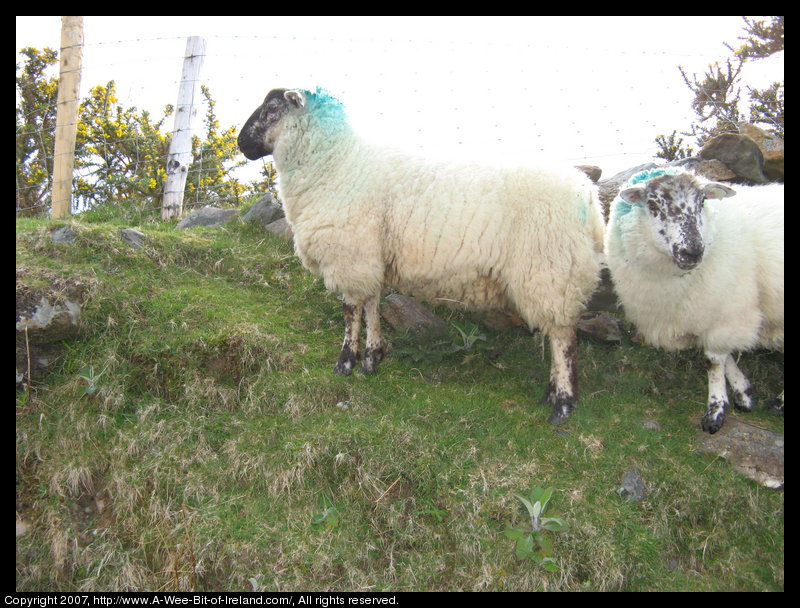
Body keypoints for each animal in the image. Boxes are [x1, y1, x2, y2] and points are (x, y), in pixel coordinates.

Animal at [238, 88, 608, 426]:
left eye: (272, 109)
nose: (242, 144)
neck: (337, 163)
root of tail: (589, 198)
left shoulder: (351, 254)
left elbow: (350, 310)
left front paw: (345, 363)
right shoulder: (370, 256)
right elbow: (372, 304)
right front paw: (372, 358)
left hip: (550, 270)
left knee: (563, 338)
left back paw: (562, 406)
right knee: (557, 332)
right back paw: (550, 394)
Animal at [608, 166, 780, 432]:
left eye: (702, 201)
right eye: (653, 205)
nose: (693, 252)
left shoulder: (728, 311)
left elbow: (714, 360)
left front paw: (716, 410)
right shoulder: (704, 312)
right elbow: (724, 356)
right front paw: (743, 391)